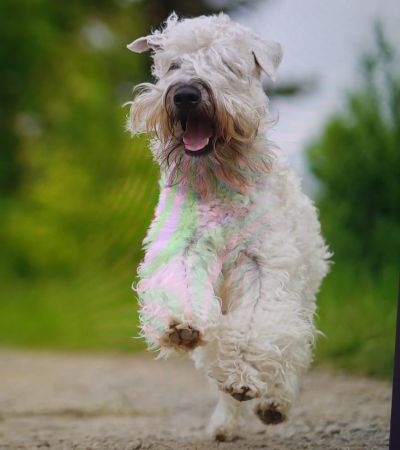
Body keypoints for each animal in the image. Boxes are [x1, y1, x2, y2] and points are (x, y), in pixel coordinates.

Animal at [126, 13, 330, 442]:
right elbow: (185, 293)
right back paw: (225, 423)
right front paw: (181, 325)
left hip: (302, 293)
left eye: (228, 64)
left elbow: (254, 330)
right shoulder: (185, 248)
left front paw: (246, 376)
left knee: (292, 347)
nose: (186, 94)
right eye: (173, 64)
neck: (219, 180)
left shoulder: (262, 265)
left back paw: (274, 402)